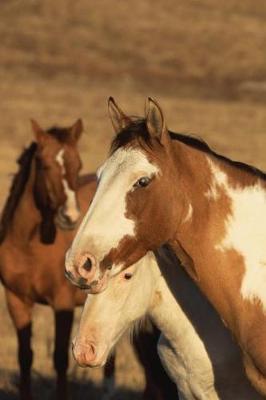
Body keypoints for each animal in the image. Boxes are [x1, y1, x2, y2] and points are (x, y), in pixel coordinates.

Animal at [0, 120, 177, 400]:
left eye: (78, 165)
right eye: (43, 164)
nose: (70, 216)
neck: (28, 246)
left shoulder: (61, 303)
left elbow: (60, 359)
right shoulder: (16, 301)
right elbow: (25, 356)